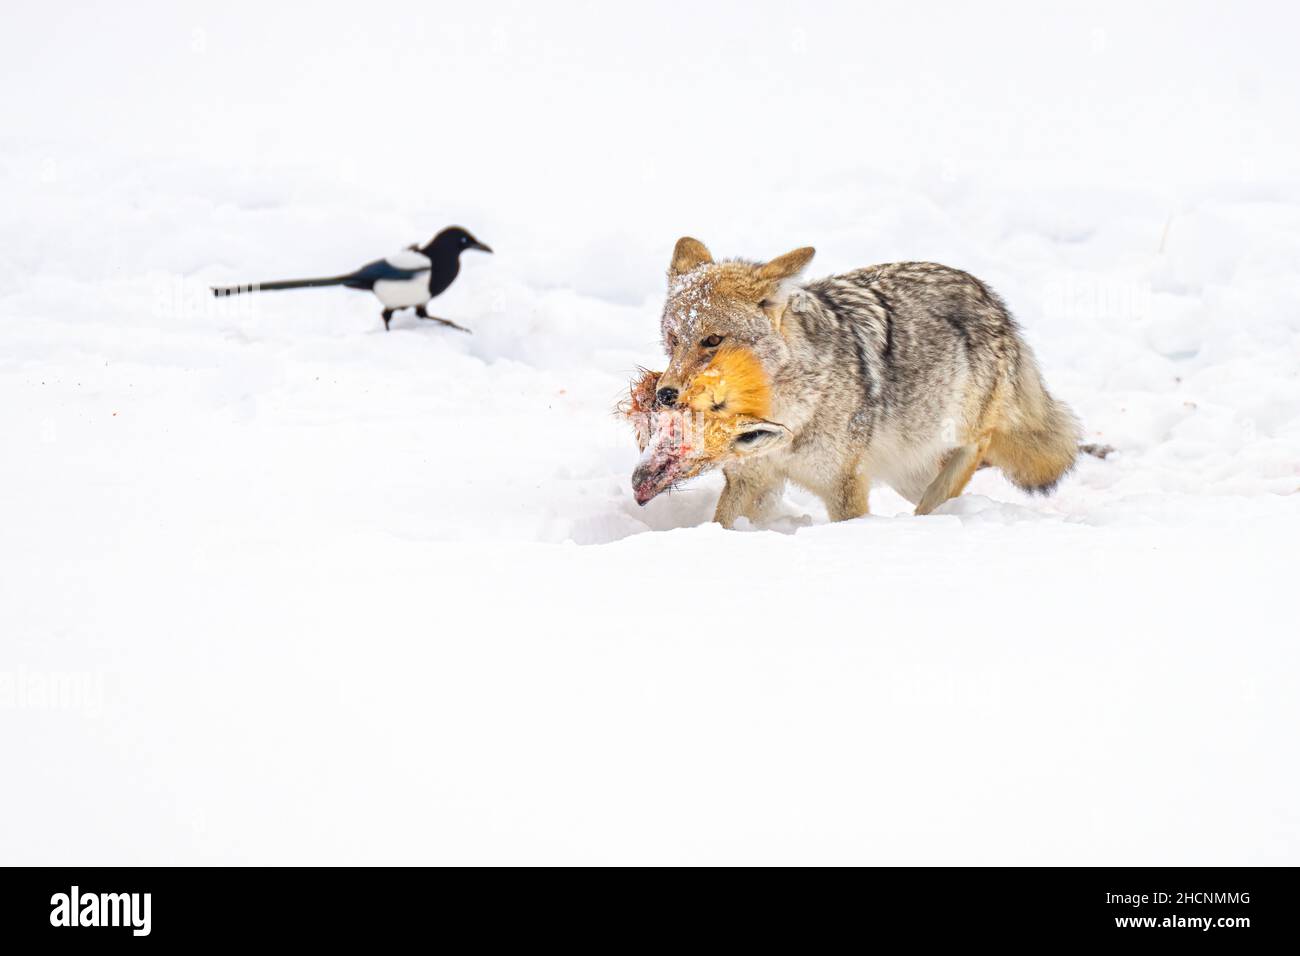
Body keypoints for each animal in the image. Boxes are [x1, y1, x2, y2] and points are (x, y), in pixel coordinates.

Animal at [637, 236, 1076, 528]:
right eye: (672, 340)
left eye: (712, 341)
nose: (664, 395)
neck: (789, 412)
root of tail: (993, 300)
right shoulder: (751, 482)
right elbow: (723, 523)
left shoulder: (843, 488)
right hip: (907, 470)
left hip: (952, 433)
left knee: (980, 448)